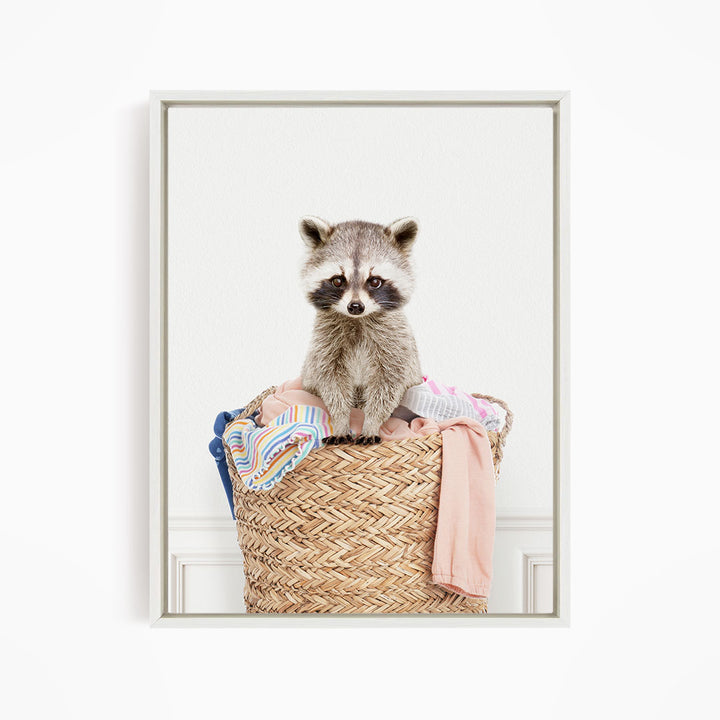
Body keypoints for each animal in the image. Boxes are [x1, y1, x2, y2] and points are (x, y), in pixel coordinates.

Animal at [300, 216, 423, 444]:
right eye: (338, 280)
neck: (357, 320)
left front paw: (371, 423)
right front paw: (341, 421)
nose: (355, 306)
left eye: (374, 281)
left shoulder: (395, 342)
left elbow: (388, 384)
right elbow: (332, 382)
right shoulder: (325, 343)